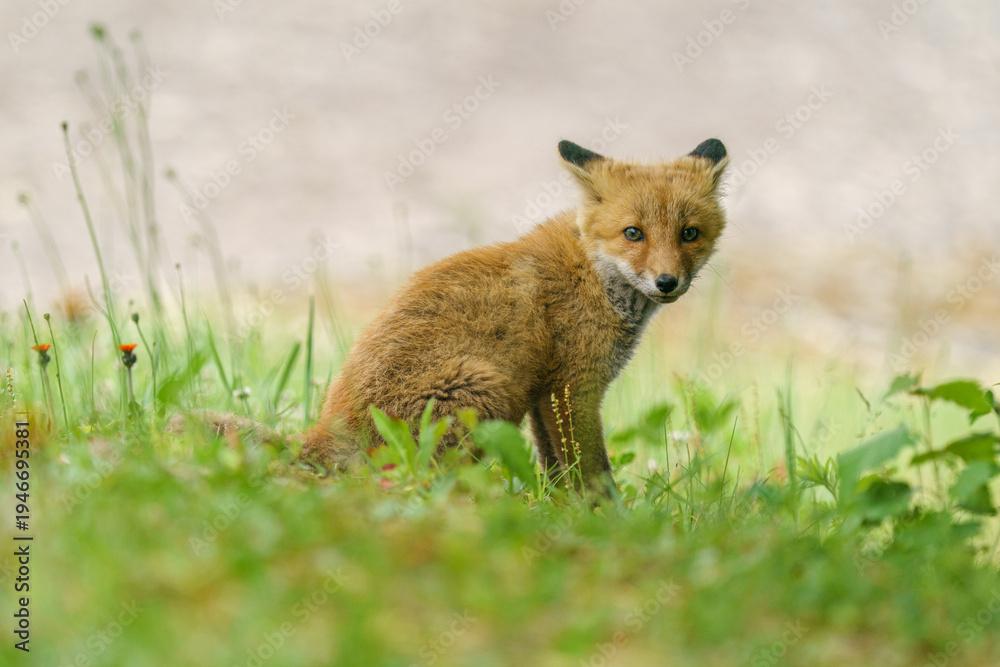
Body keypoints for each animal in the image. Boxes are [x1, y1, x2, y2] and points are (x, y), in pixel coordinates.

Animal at [298, 137, 730, 494]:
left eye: (689, 234)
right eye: (633, 233)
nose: (667, 282)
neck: (592, 273)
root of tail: (329, 428)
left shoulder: (543, 395)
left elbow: (555, 469)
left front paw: (563, 511)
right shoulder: (573, 388)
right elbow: (594, 471)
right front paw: (608, 519)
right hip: (487, 391)